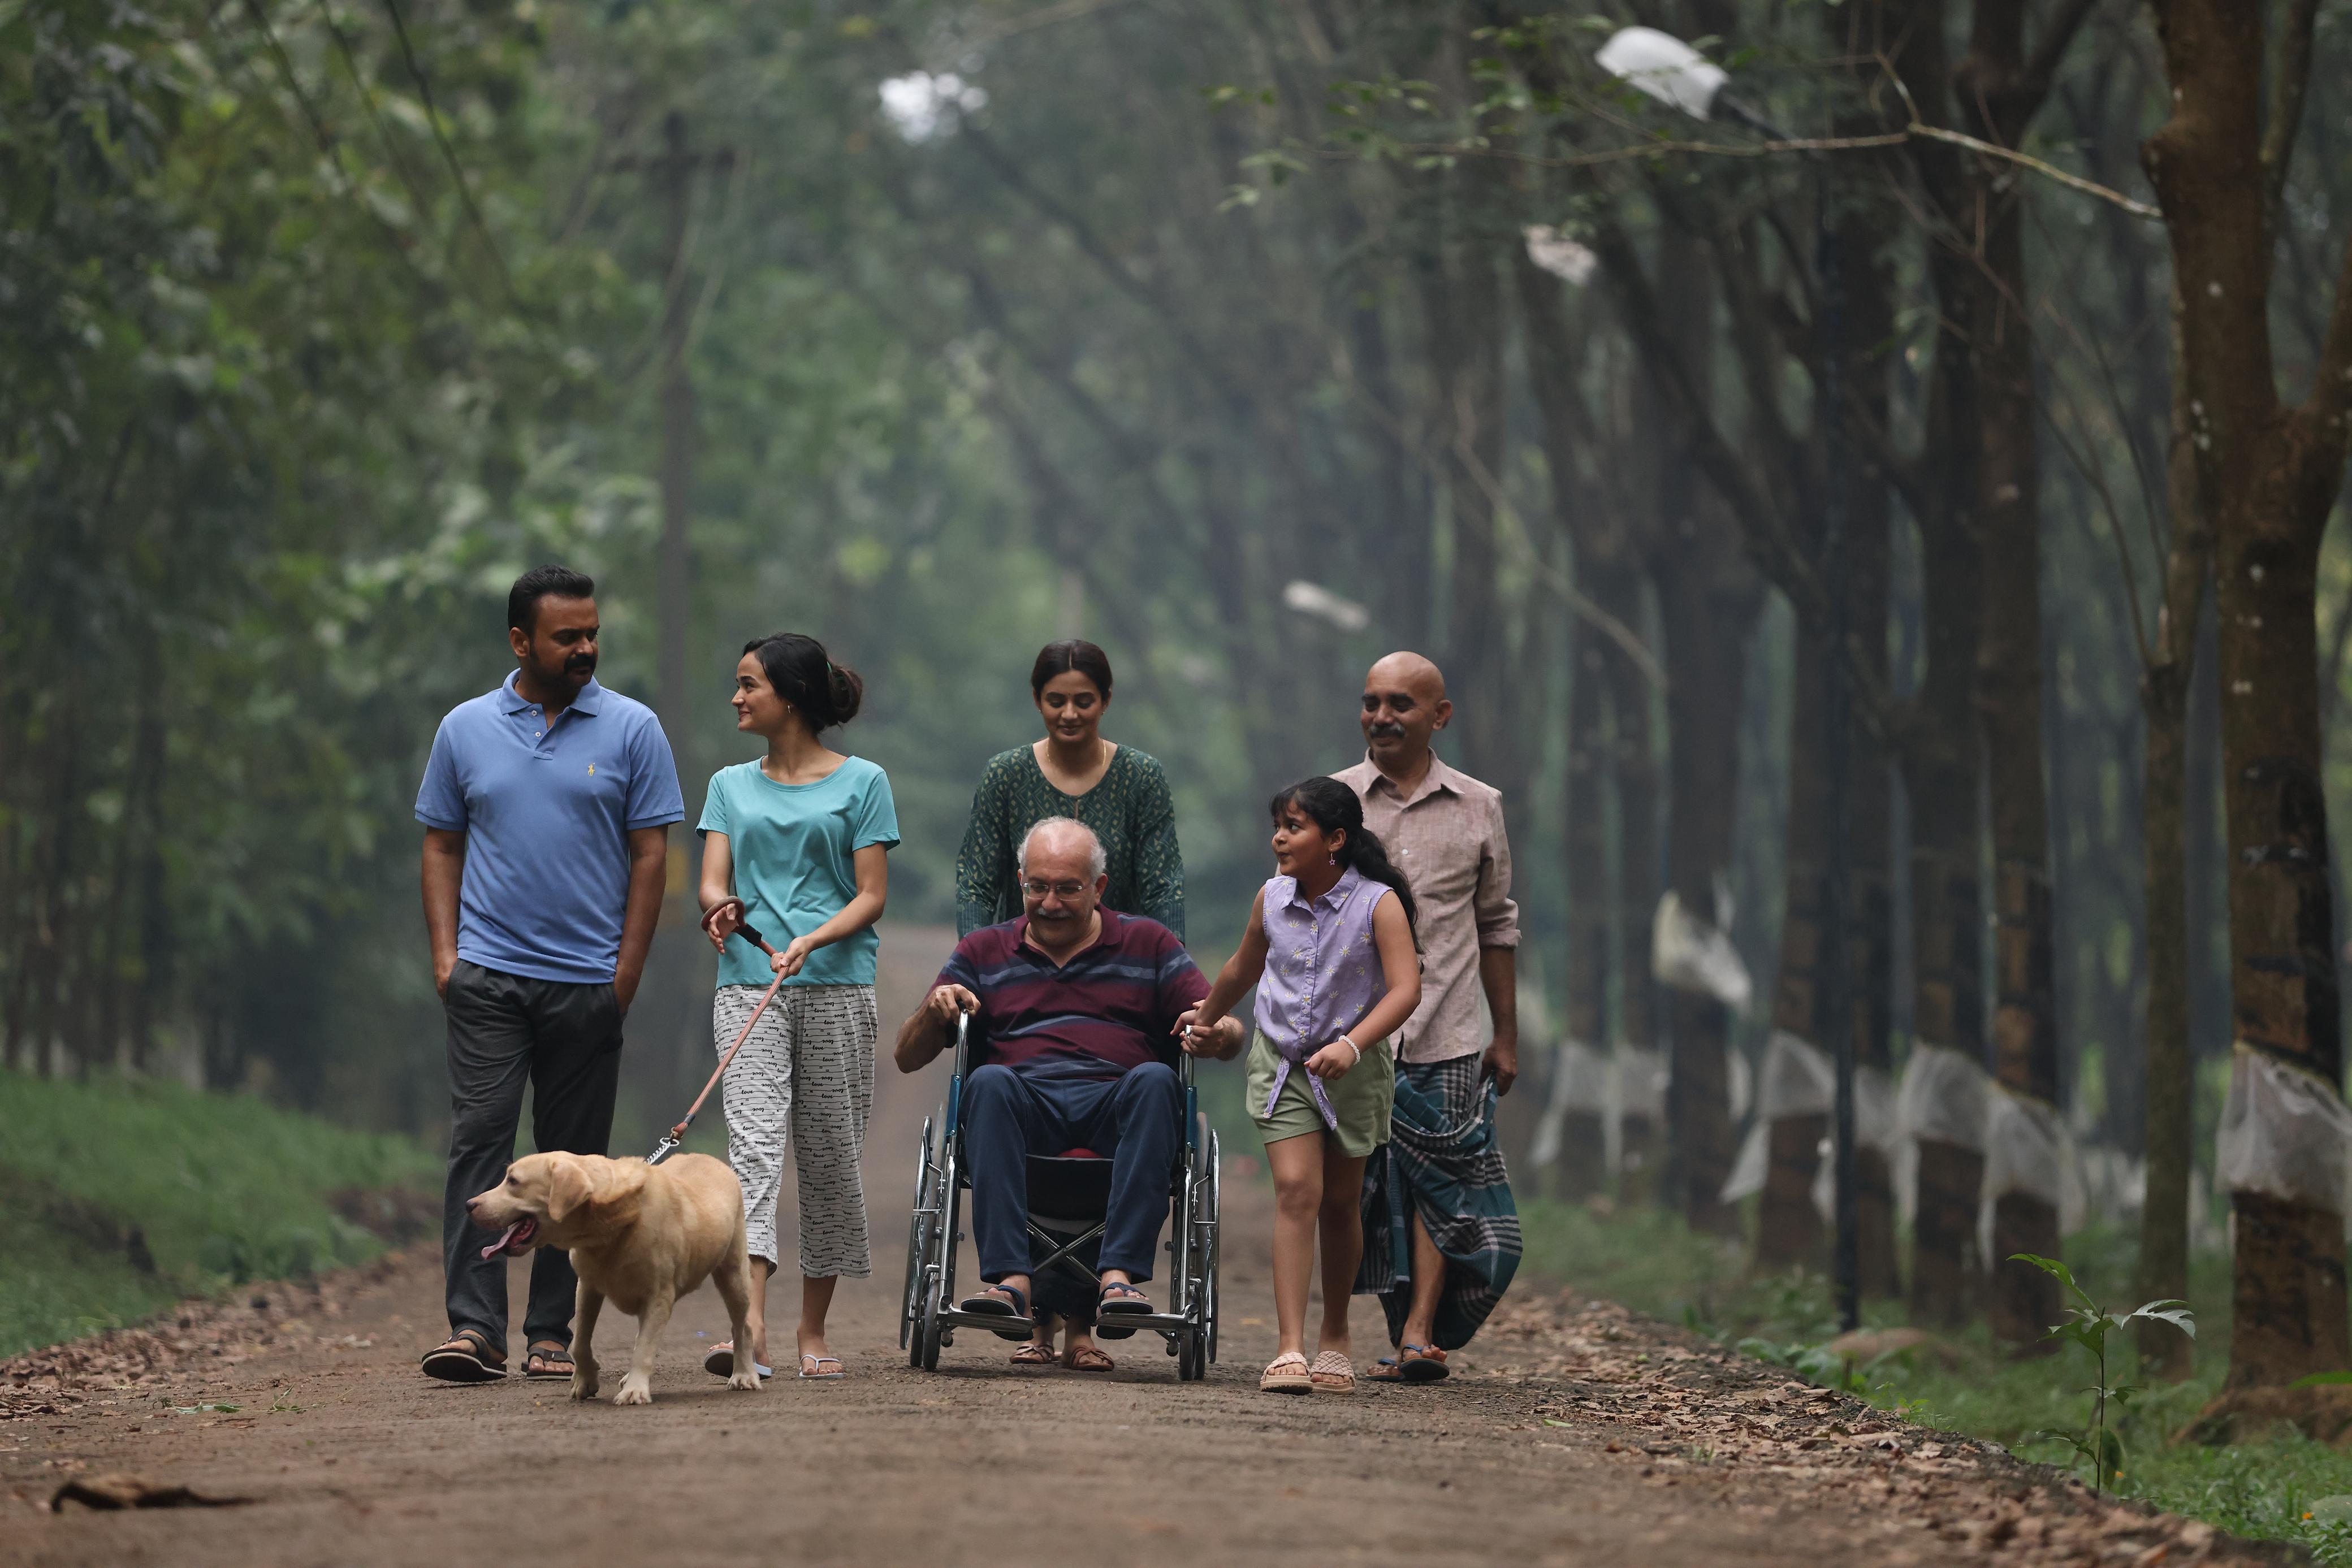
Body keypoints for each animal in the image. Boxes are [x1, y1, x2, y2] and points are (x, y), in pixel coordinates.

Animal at [459, 1151, 753, 1410]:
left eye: (513, 1181)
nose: (469, 1205)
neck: (613, 1225)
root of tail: (714, 1161)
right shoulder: (587, 1287)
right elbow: (580, 1342)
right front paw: (585, 1382)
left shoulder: (658, 1296)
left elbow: (644, 1348)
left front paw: (635, 1391)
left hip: (733, 1275)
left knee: (743, 1327)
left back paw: (744, 1375)